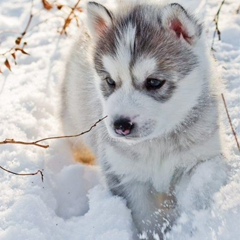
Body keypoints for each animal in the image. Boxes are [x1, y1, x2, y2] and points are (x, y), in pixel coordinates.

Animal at [61, 1, 228, 238]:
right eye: (110, 81)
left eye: (154, 82)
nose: (120, 125)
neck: (158, 143)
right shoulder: (125, 174)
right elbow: (145, 218)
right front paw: (155, 232)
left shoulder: (201, 159)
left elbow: (196, 194)